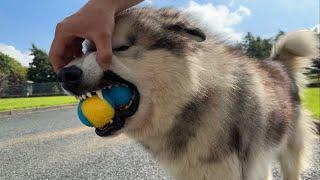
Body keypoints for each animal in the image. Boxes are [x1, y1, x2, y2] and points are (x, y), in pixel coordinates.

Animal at [57, 7, 318, 180]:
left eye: (120, 48)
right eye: (88, 49)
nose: (64, 74)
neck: (192, 99)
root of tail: (278, 65)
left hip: (289, 155)